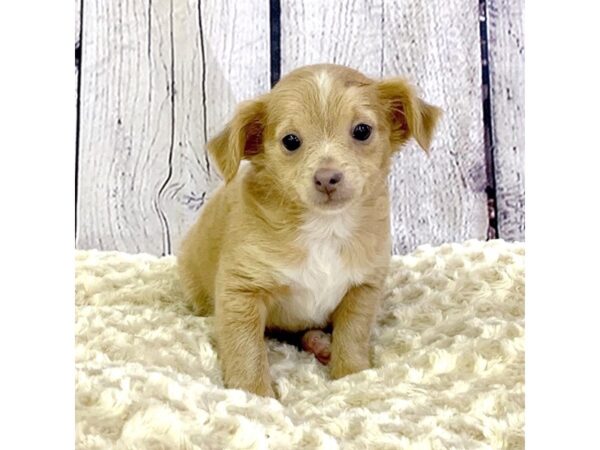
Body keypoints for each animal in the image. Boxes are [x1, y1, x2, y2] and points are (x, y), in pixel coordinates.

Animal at [178, 64, 440, 398]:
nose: (327, 177)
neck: (325, 228)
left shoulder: (363, 287)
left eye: (362, 131)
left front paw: (352, 374)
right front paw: (253, 394)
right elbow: (245, 348)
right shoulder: (240, 291)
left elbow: (353, 332)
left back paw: (320, 343)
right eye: (291, 141)